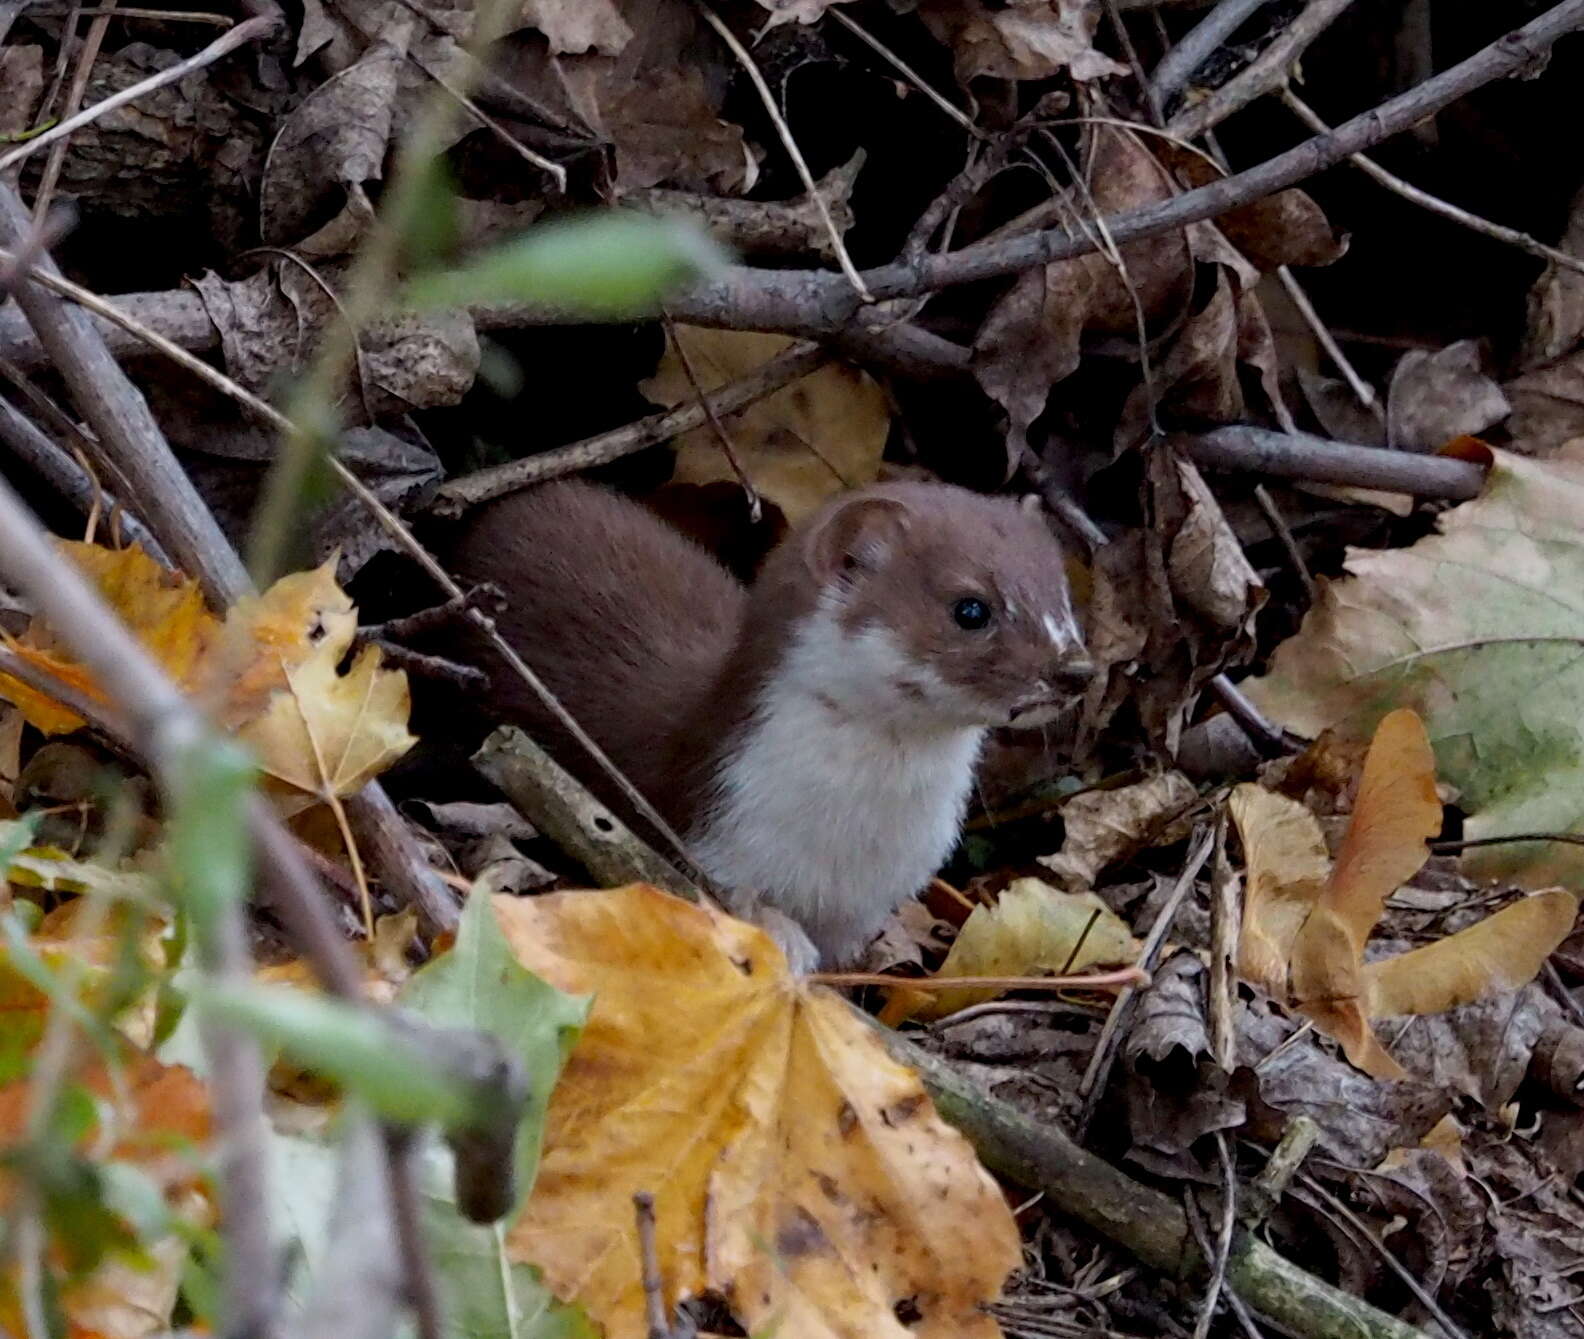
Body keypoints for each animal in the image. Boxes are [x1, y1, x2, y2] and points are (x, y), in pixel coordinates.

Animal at [446, 481, 1089, 969]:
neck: (849, 848)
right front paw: (783, 938)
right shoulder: (711, 842)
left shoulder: (864, 908)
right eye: (971, 608)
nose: (1073, 670)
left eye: (1062, 594)